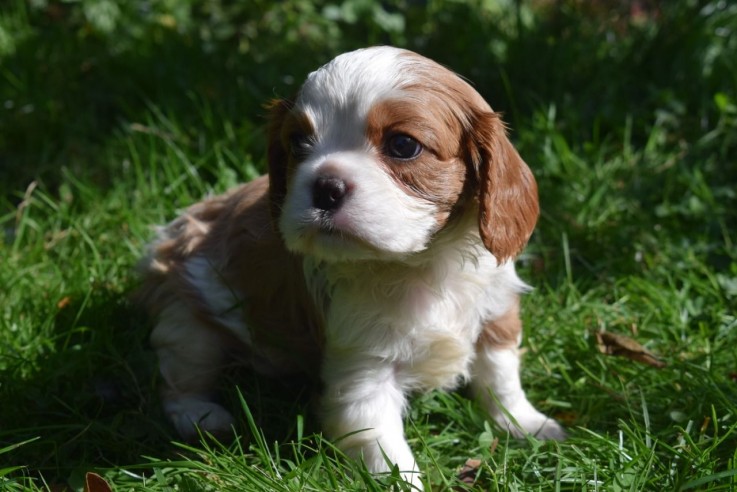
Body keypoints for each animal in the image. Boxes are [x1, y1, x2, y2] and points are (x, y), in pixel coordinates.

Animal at [138, 46, 564, 488]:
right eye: (298, 142)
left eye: (403, 145)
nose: (325, 187)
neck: (422, 263)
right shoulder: (364, 368)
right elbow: (384, 445)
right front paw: (405, 483)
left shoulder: (496, 314)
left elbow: (501, 376)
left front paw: (526, 423)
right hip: (188, 324)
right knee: (179, 378)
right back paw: (203, 418)